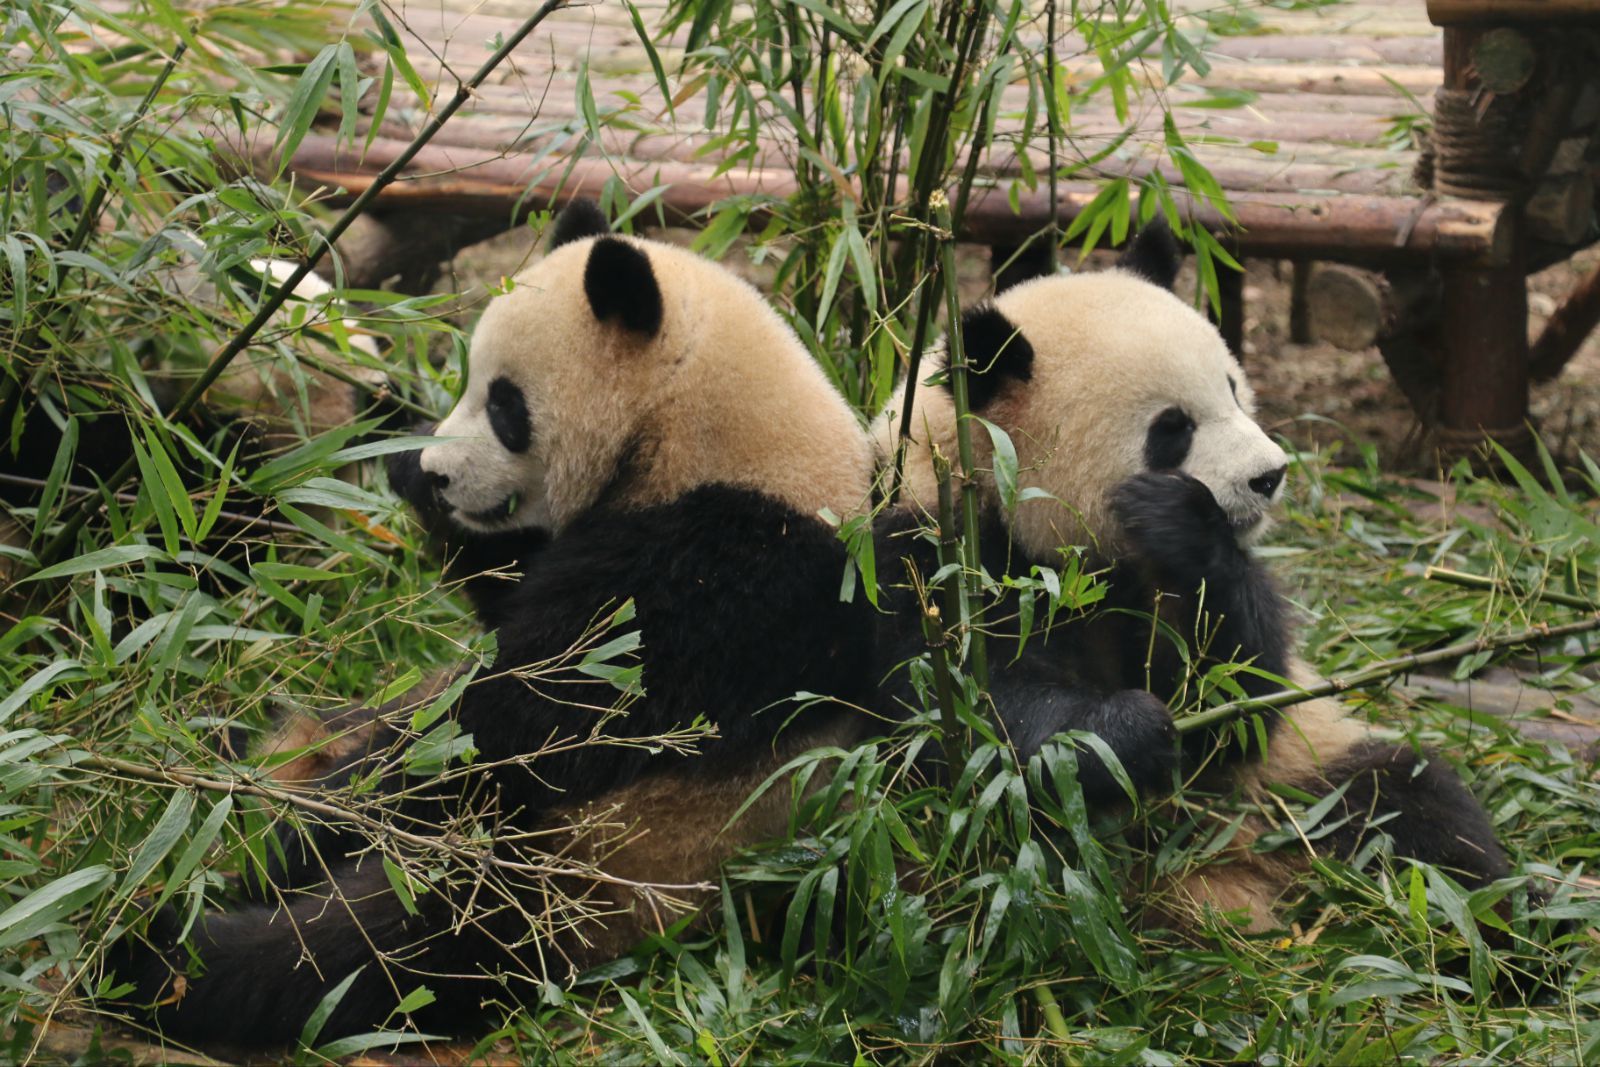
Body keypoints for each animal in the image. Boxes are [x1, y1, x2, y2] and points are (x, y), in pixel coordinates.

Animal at [106, 198, 883, 1043]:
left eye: (506, 404)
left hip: (583, 868)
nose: (442, 473)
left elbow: (526, 721)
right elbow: (505, 603)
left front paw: (295, 834)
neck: (712, 430)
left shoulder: (712, 573)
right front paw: (404, 454)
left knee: (361, 955)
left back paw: (165, 937)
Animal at [876, 227, 1510, 934]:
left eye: (1234, 388)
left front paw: (1182, 526)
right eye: (1172, 429)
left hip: (1303, 779)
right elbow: (972, 723)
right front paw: (1132, 731)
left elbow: (1240, 698)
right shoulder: (931, 556)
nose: (1269, 475)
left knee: (1414, 810)